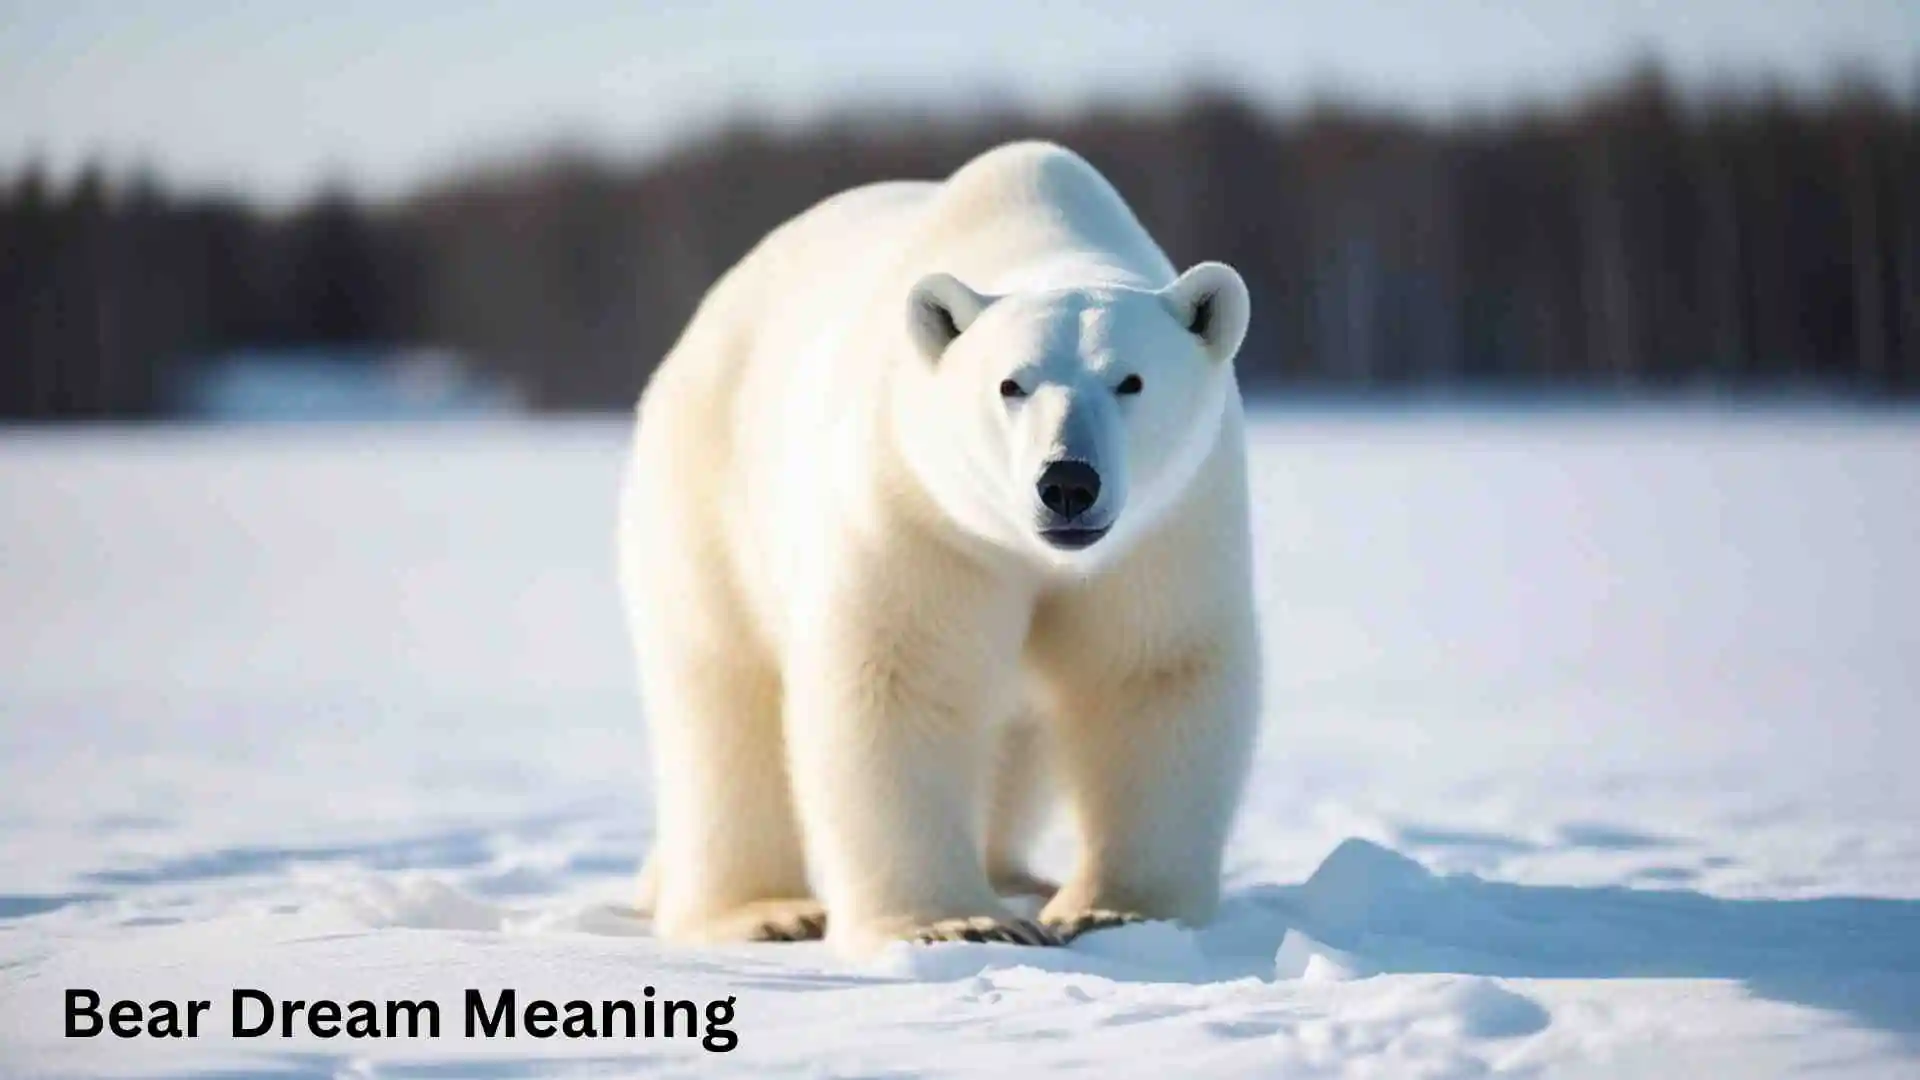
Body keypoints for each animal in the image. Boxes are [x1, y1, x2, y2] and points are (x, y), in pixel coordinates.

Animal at [618, 140, 1262, 956]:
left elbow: (1149, 673)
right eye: (1011, 384)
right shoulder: (919, 518)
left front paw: (1112, 909)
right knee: (722, 701)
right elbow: (901, 676)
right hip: (709, 504)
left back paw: (1020, 877)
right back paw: (764, 910)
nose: (1068, 482)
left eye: (1131, 380)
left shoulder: (1165, 532)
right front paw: (956, 923)